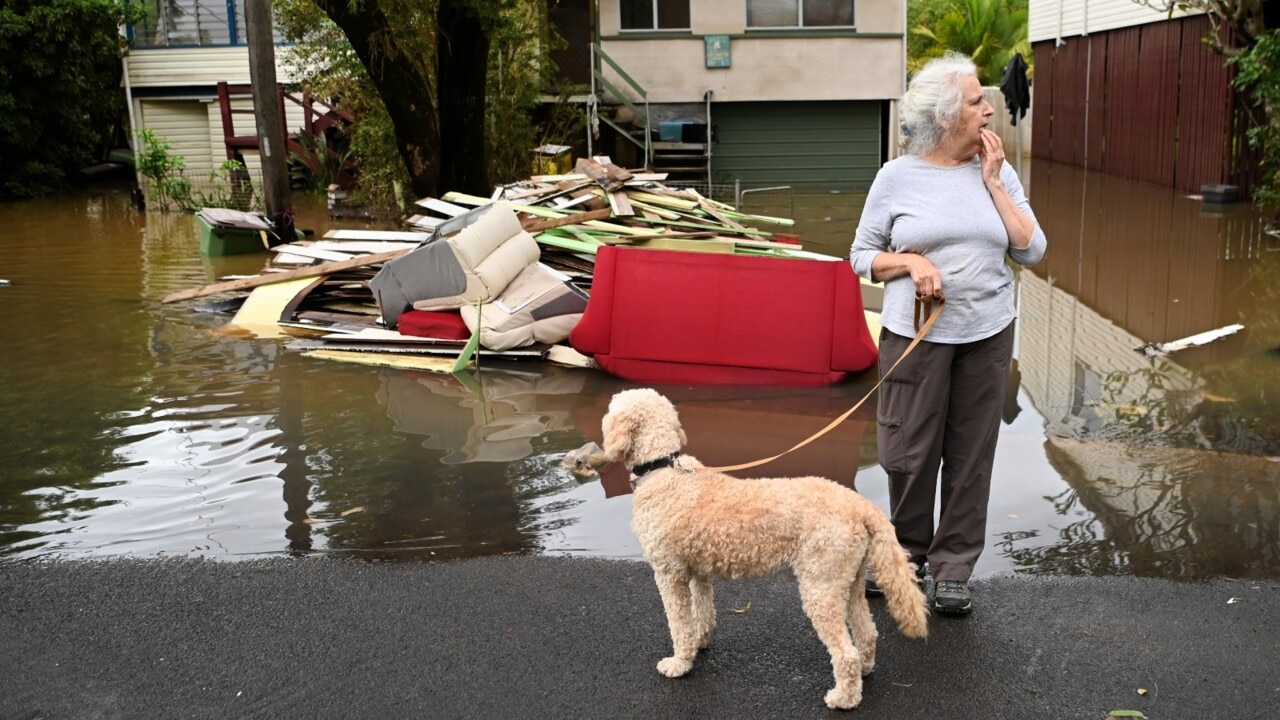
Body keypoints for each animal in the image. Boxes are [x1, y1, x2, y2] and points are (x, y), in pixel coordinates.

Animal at [604, 386, 926, 707]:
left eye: (610, 410)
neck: (663, 468)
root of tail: (861, 506)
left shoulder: (670, 574)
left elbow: (679, 623)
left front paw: (680, 663)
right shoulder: (698, 572)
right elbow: (703, 611)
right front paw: (700, 642)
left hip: (820, 585)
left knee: (845, 653)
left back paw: (843, 698)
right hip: (848, 581)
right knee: (867, 633)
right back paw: (865, 670)